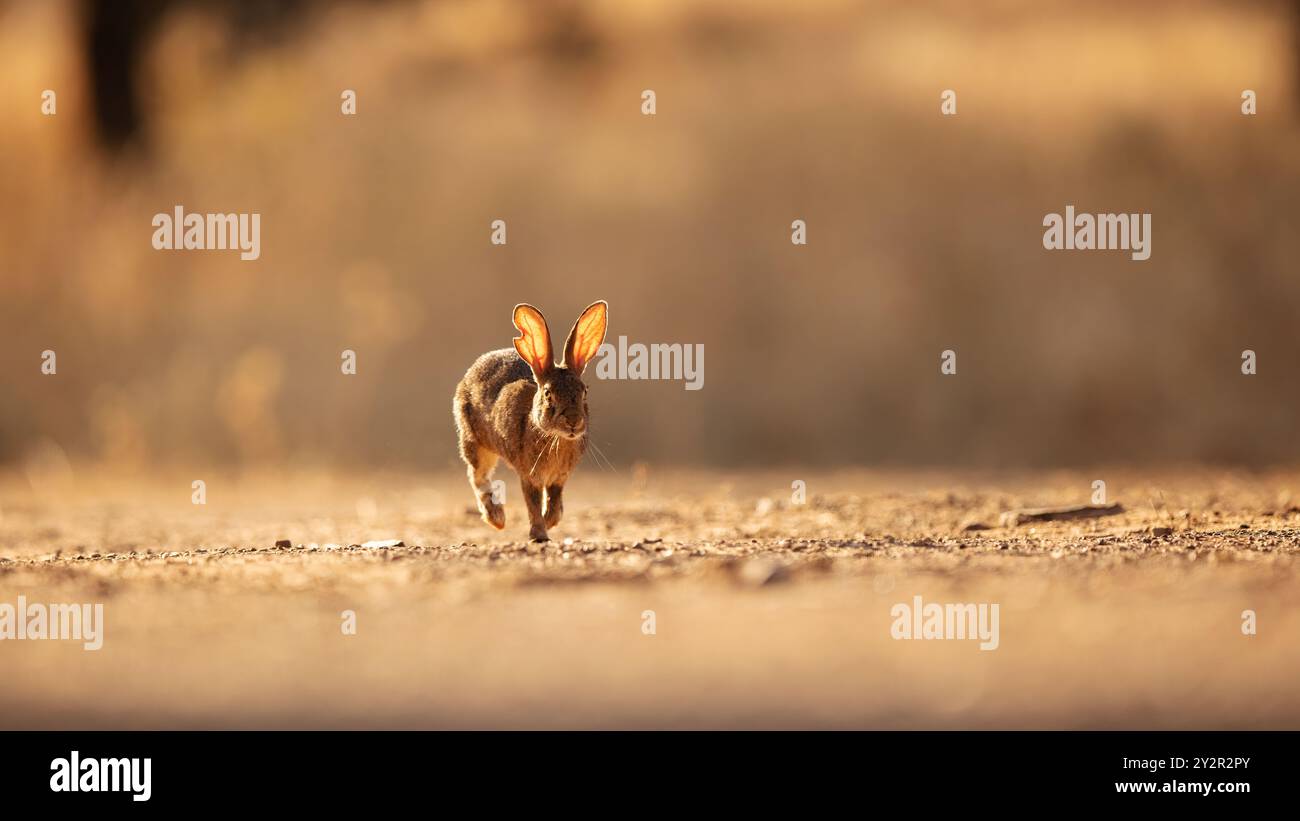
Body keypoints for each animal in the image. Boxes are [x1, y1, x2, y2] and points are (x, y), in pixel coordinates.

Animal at [454, 301, 608, 542]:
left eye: (585, 391)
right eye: (548, 394)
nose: (573, 421)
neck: (555, 438)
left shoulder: (558, 479)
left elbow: (553, 502)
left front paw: (550, 521)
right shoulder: (529, 475)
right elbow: (533, 503)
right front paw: (539, 534)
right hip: (475, 442)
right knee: (477, 475)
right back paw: (497, 518)